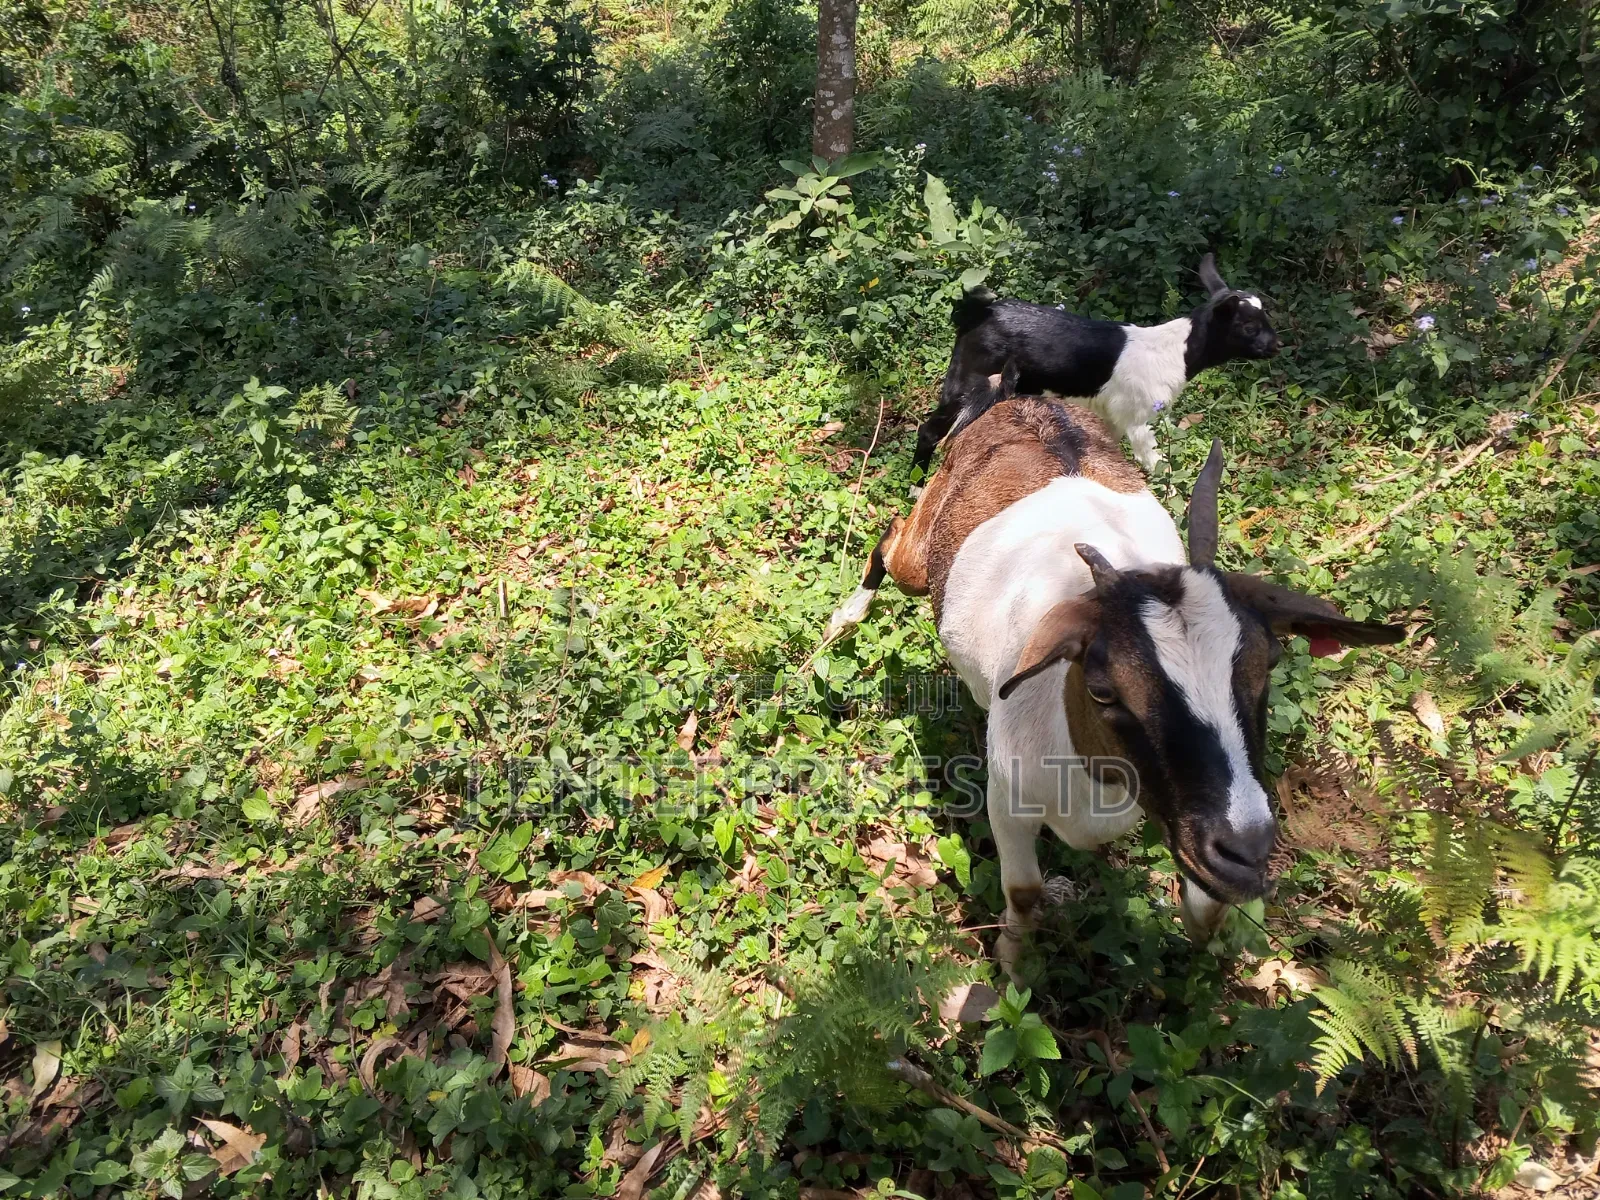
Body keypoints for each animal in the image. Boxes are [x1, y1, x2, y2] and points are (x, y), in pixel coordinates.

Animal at [825, 393, 1402, 974]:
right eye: (1104, 689)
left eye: (1269, 664)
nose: (1245, 851)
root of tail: (1023, 399)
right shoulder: (1007, 799)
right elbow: (1024, 891)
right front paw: (1012, 962)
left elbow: (1205, 907)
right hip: (922, 551)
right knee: (892, 536)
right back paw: (845, 616)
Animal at [910, 255, 1280, 479]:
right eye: (1249, 326)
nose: (1277, 345)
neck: (1174, 350)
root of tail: (976, 313)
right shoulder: (1140, 420)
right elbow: (1157, 465)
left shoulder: (1113, 416)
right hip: (970, 381)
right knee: (930, 431)